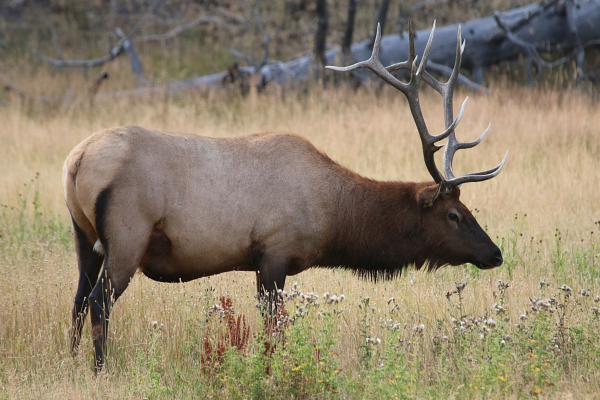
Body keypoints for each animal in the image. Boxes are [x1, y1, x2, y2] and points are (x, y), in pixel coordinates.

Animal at [63, 22, 506, 372]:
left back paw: (70, 361)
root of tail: (76, 160)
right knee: (99, 302)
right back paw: (100, 369)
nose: (496, 254)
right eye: (454, 214)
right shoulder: (274, 252)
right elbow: (273, 328)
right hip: (128, 236)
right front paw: (273, 369)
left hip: (85, 238)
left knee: (78, 300)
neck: (332, 217)